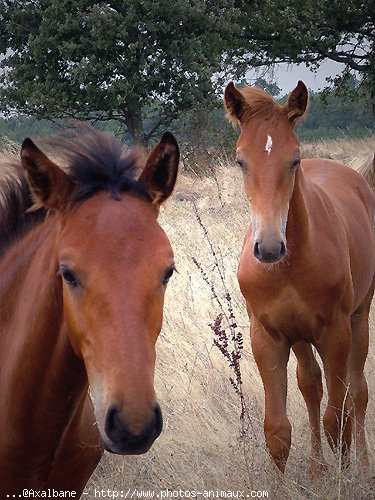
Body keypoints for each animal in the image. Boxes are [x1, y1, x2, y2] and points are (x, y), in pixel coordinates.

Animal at [225, 80, 374, 474]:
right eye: (240, 160)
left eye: (294, 160)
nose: (269, 248)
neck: (288, 269)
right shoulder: (268, 337)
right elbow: (277, 432)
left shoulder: (335, 334)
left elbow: (337, 420)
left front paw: (343, 479)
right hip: (301, 337)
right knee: (311, 386)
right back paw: (316, 468)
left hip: (358, 317)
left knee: (357, 393)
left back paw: (362, 462)